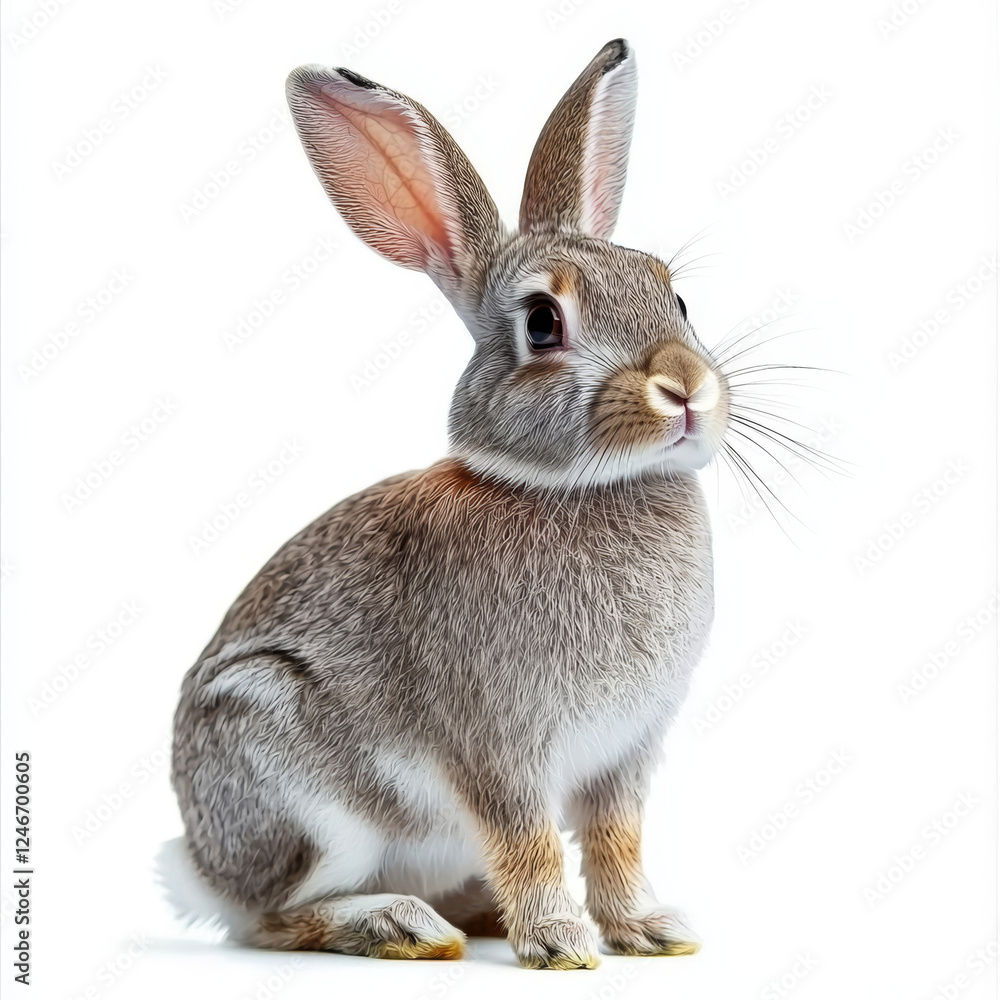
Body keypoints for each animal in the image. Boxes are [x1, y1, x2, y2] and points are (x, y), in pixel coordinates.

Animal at [164, 38, 730, 970]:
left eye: (673, 296)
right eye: (542, 323)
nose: (685, 388)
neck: (574, 488)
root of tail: (200, 867)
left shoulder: (625, 752)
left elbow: (615, 839)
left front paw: (650, 930)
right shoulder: (496, 744)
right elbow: (529, 840)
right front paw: (562, 944)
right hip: (301, 788)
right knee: (273, 918)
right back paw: (401, 925)